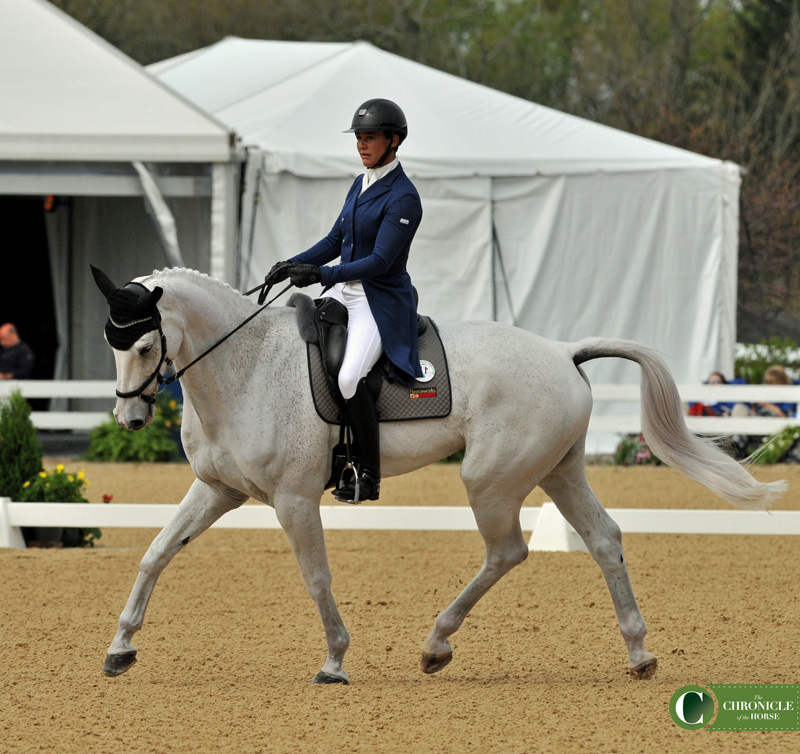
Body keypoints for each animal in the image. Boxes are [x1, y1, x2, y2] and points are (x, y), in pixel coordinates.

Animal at [92, 264, 780, 680]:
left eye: (146, 346)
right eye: (112, 344)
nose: (130, 418)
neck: (246, 366)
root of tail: (562, 352)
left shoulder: (293, 498)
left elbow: (316, 578)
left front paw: (335, 661)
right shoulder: (218, 489)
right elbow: (156, 553)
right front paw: (121, 648)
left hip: (491, 479)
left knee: (507, 552)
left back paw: (436, 644)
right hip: (558, 471)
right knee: (605, 539)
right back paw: (637, 652)